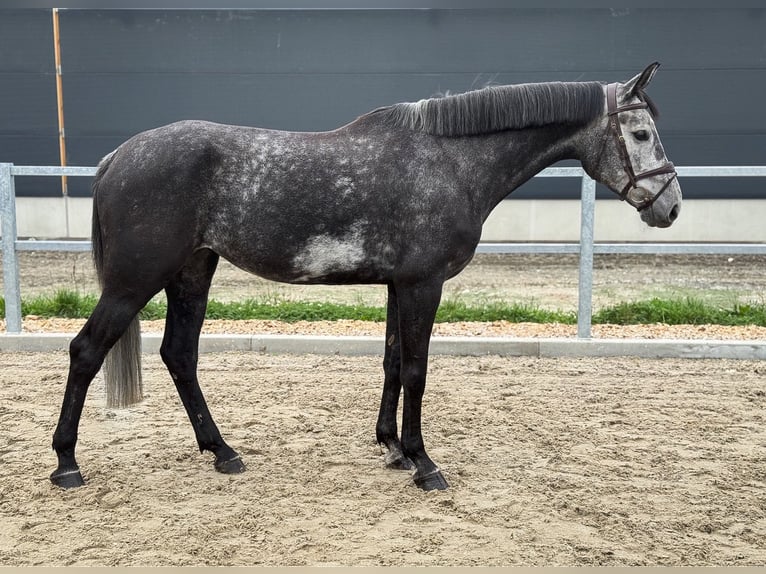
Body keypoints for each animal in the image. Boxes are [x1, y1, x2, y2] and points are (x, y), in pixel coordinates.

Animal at [49, 64, 684, 496]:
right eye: (643, 134)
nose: (670, 206)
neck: (449, 163)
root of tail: (117, 157)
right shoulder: (424, 285)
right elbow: (417, 370)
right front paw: (424, 463)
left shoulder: (398, 286)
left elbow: (392, 362)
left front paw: (392, 448)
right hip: (133, 282)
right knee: (87, 350)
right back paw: (66, 464)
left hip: (191, 271)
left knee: (180, 354)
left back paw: (223, 451)